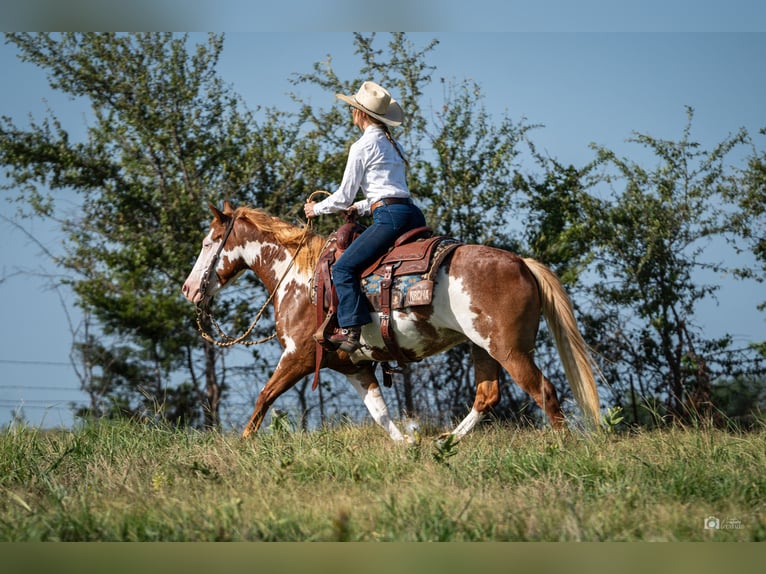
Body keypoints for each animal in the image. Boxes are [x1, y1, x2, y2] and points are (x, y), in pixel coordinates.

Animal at [183, 204, 604, 446]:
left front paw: (243, 443)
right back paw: (445, 442)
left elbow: (264, 396)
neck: (300, 278)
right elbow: (380, 413)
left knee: (544, 391)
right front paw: (406, 445)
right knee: (487, 396)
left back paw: (564, 447)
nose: (189, 289)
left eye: (209, 241)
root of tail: (521, 263)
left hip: (510, 350)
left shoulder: (298, 356)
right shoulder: (354, 366)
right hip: (482, 348)